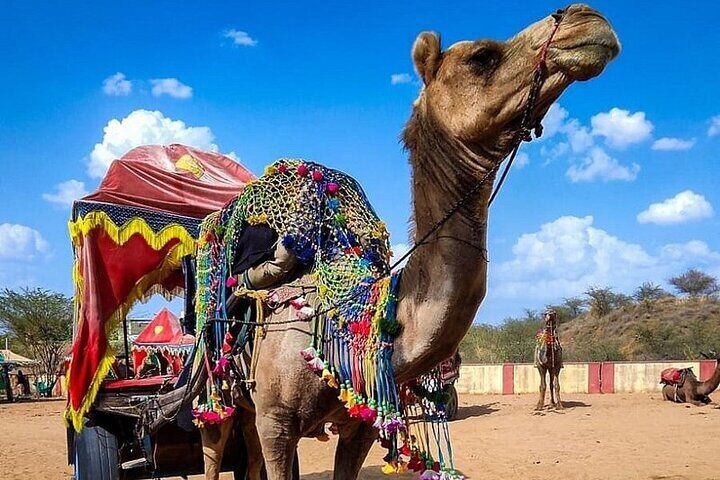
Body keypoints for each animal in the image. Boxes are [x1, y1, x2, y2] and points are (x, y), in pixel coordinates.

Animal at [201, 4, 620, 479]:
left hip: (249, 411)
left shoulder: (358, 425)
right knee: (215, 448)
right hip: (218, 398)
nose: (587, 19)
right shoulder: (277, 421)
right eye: (481, 56)